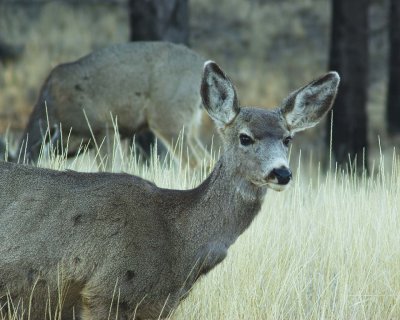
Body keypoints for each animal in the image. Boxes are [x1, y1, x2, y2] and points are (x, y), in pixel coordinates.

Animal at [15, 42, 208, 168]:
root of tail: (201, 63)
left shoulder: (103, 126)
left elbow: (106, 168)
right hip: (191, 124)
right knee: (206, 159)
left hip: (168, 116)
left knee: (195, 162)